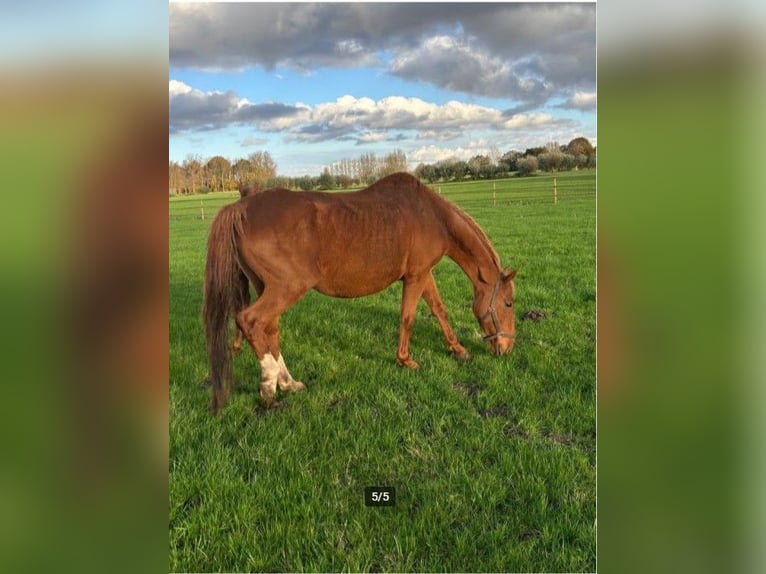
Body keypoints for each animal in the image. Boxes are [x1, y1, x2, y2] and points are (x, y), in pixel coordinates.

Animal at [202, 171, 520, 414]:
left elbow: (439, 310)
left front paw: (458, 350)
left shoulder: (424, 274)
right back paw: (269, 388)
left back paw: (288, 383)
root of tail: (241, 208)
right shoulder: (416, 276)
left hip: (266, 288)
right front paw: (405, 360)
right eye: (508, 303)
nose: (506, 348)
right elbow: (408, 317)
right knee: (251, 322)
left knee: (269, 330)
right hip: (286, 289)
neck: (431, 215)